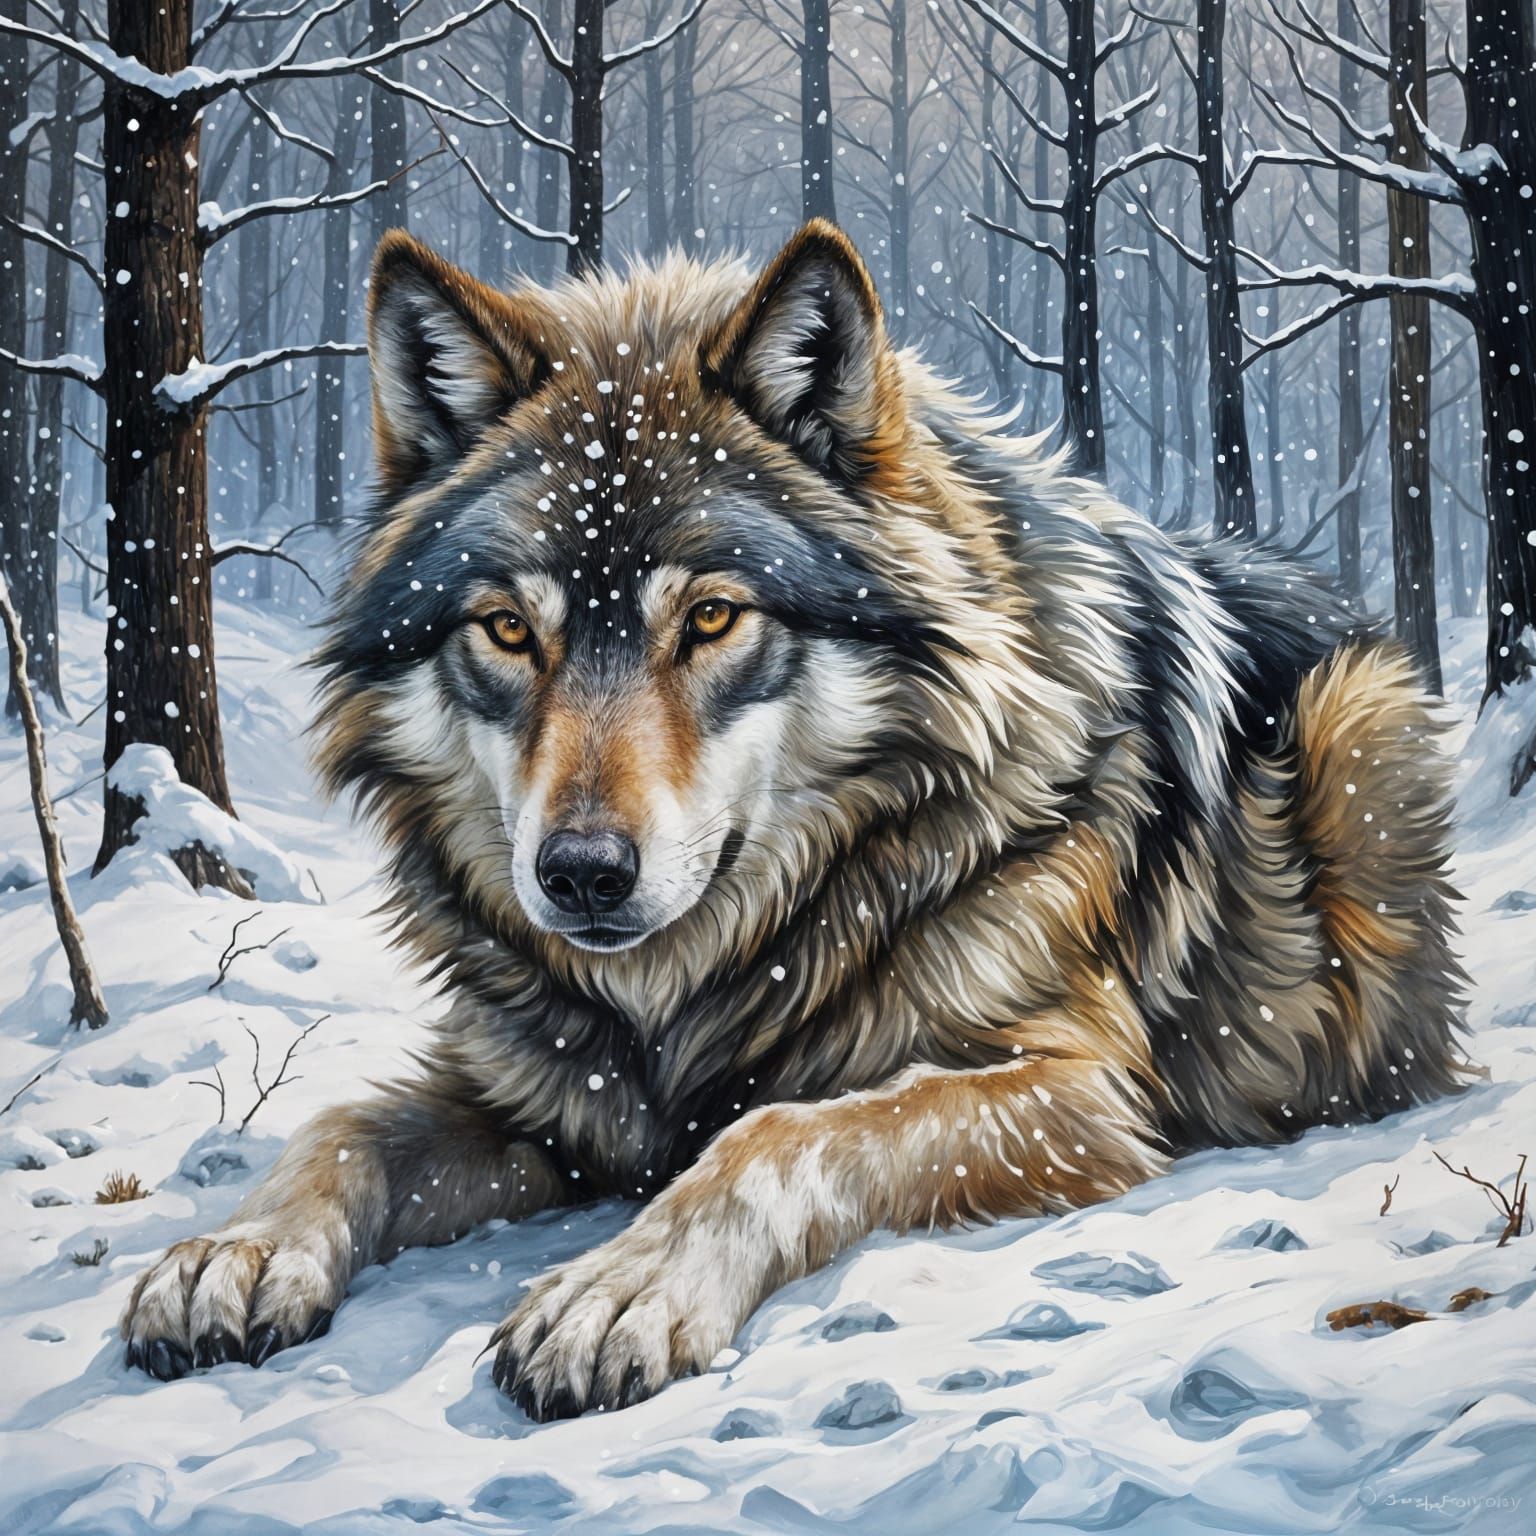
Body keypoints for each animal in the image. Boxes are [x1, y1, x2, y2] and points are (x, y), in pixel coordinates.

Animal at [121, 221, 1468, 1418]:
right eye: (506, 630)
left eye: (714, 618)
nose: (581, 873)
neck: (699, 993)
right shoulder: (541, 1097)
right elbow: (339, 1122)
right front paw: (232, 1254)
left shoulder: (1079, 1091)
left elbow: (780, 1132)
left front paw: (620, 1291)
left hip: (1359, 732)